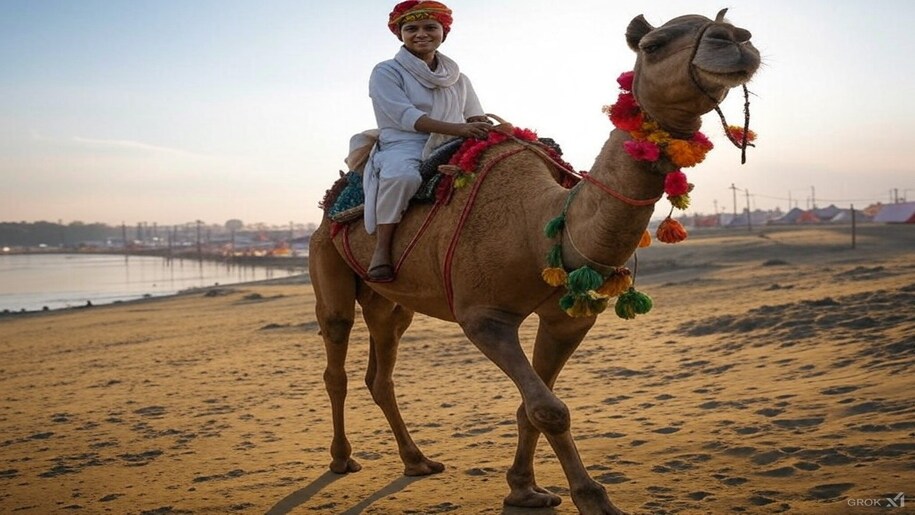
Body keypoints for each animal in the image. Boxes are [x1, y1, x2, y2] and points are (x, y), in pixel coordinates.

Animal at [308, 9, 760, 514]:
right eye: (654, 45)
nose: (734, 39)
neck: (543, 227)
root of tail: (334, 195)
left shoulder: (568, 318)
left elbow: (534, 406)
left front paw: (524, 488)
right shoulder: (484, 316)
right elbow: (549, 408)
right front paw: (593, 499)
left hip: (391, 304)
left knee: (381, 371)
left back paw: (417, 461)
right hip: (326, 260)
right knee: (336, 354)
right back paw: (342, 459)